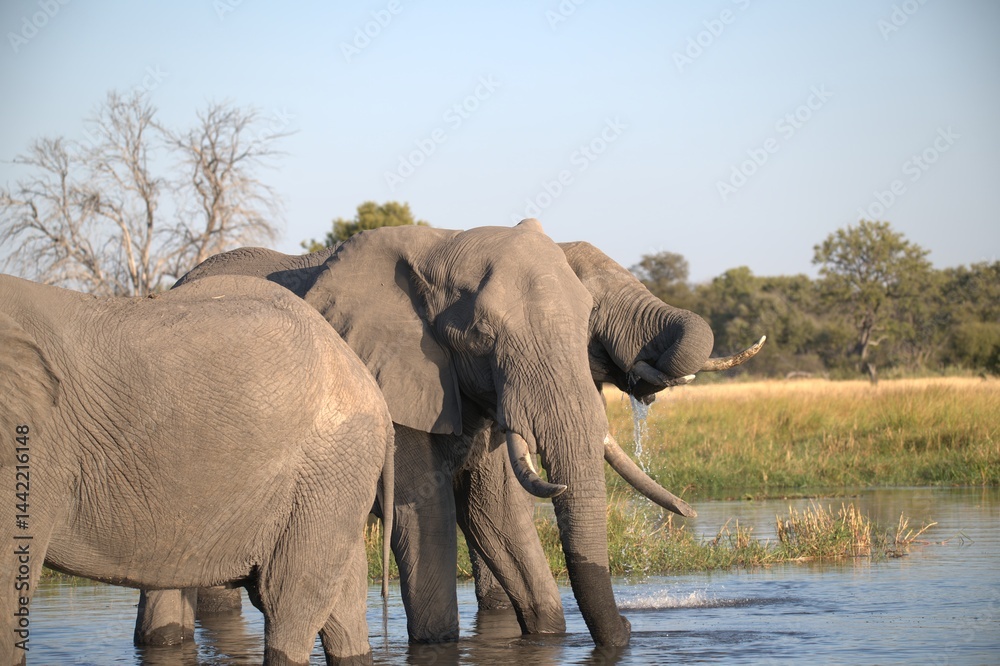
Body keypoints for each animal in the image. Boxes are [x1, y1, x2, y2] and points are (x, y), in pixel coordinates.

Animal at [141, 220, 763, 648]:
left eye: (585, 321)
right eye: (483, 335)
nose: (634, 628)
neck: (443, 242)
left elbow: (495, 512)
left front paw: (550, 635)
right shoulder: (394, 381)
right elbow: (427, 512)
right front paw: (438, 641)